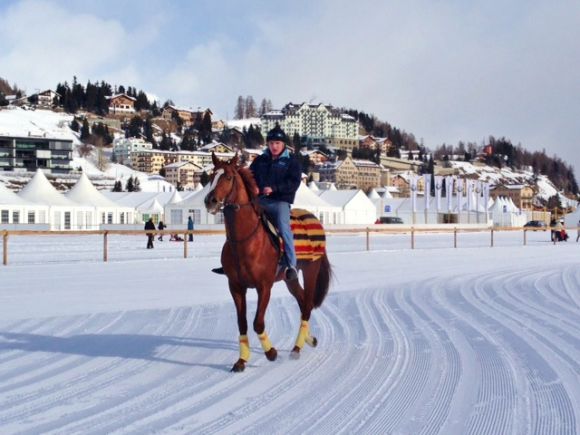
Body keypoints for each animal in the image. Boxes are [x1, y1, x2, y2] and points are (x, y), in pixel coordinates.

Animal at [204, 152, 330, 372]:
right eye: (211, 175)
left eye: (228, 177)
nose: (209, 200)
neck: (246, 240)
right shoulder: (235, 286)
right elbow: (242, 323)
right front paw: (241, 360)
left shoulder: (264, 286)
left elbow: (257, 322)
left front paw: (271, 352)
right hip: (290, 279)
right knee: (302, 300)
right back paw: (309, 339)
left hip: (310, 270)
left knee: (306, 305)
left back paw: (297, 348)